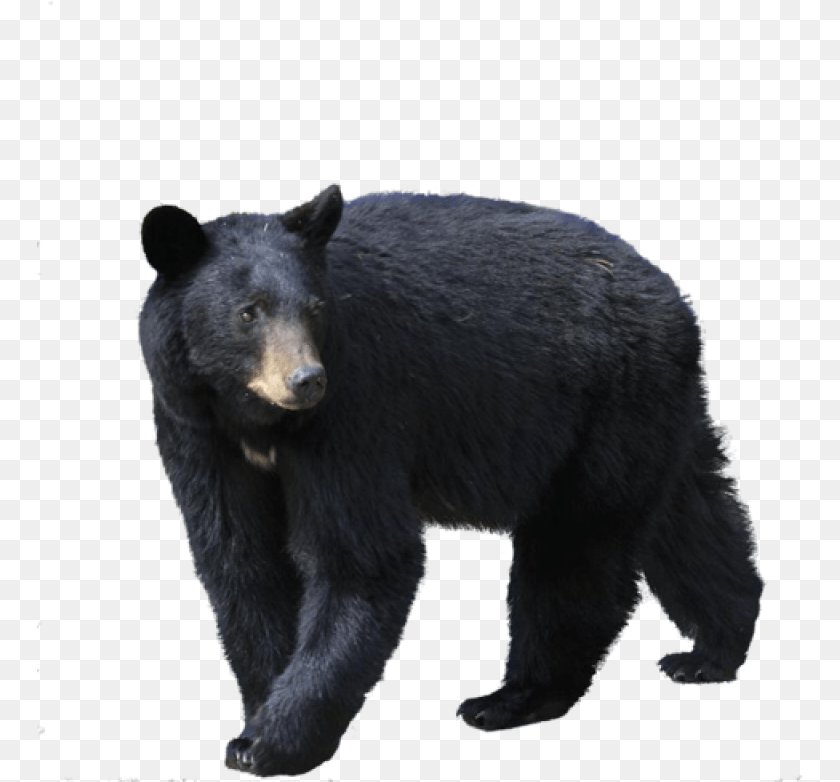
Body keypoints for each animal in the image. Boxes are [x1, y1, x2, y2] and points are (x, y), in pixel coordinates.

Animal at [139, 185, 763, 777]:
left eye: (315, 308)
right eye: (249, 312)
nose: (306, 379)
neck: (259, 419)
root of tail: (673, 297)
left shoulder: (355, 408)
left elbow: (359, 560)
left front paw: (272, 742)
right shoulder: (196, 429)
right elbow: (242, 559)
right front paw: (259, 712)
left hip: (605, 406)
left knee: (573, 550)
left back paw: (512, 698)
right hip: (656, 408)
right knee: (690, 515)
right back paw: (712, 649)